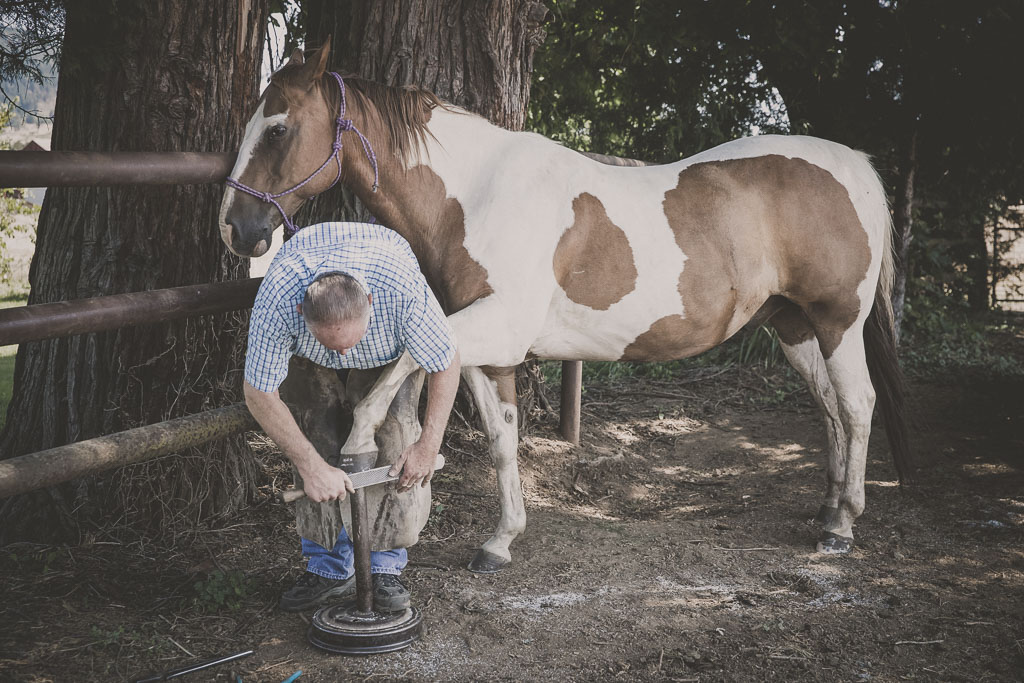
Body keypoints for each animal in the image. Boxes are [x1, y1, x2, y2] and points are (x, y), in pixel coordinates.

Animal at [220, 37, 909, 573]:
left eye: (278, 128)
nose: (236, 227)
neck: (476, 194)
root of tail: (855, 165)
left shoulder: (494, 326)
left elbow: (393, 377)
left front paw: (361, 444)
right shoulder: (489, 350)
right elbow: (501, 438)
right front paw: (500, 541)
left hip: (838, 321)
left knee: (857, 404)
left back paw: (841, 526)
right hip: (795, 326)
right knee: (830, 407)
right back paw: (827, 506)